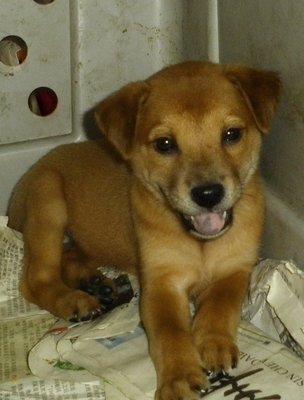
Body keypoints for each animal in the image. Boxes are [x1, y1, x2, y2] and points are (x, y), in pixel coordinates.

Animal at [8, 60, 280, 400]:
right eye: (165, 144)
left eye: (232, 134)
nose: (208, 195)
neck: (199, 243)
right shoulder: (161, 283)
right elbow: (170, 332)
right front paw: (180, 377)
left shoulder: (235, 269)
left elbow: (221, 305)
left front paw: (214, 342)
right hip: (48, 202)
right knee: (35, 279)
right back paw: (74, 300)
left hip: (87, 239)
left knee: (70, 256)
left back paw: (96, 283)